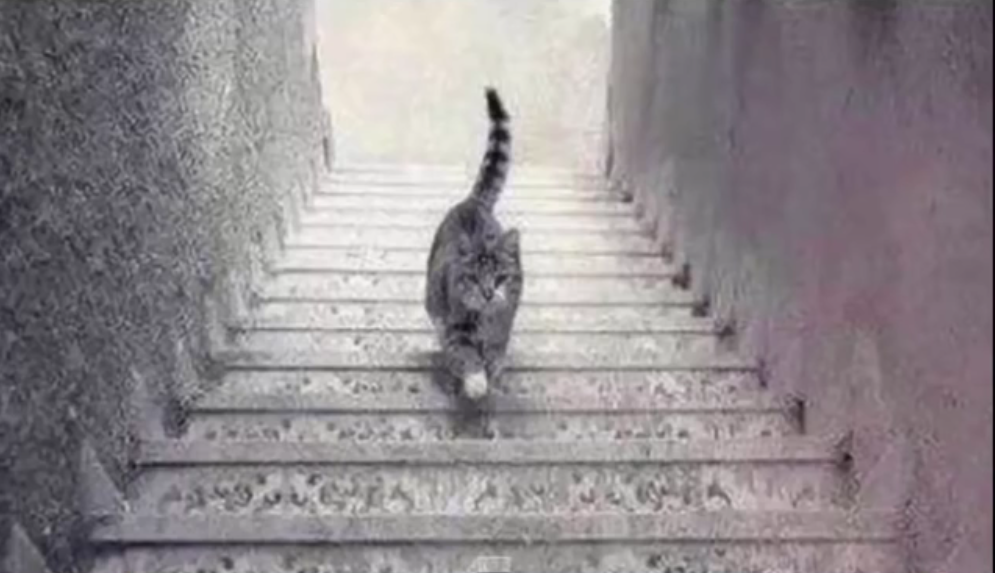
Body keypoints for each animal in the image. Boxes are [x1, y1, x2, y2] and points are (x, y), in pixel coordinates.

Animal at [425, 88, 523, 401]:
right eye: (474, 278)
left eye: (501, 276)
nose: (489, 293)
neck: (486, 319)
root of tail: (473, 201)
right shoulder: (458, 325)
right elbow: (466, 354)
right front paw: (477, 383)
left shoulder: (503, 326)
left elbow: (495, 354)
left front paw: (493, 373)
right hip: (434, 300)